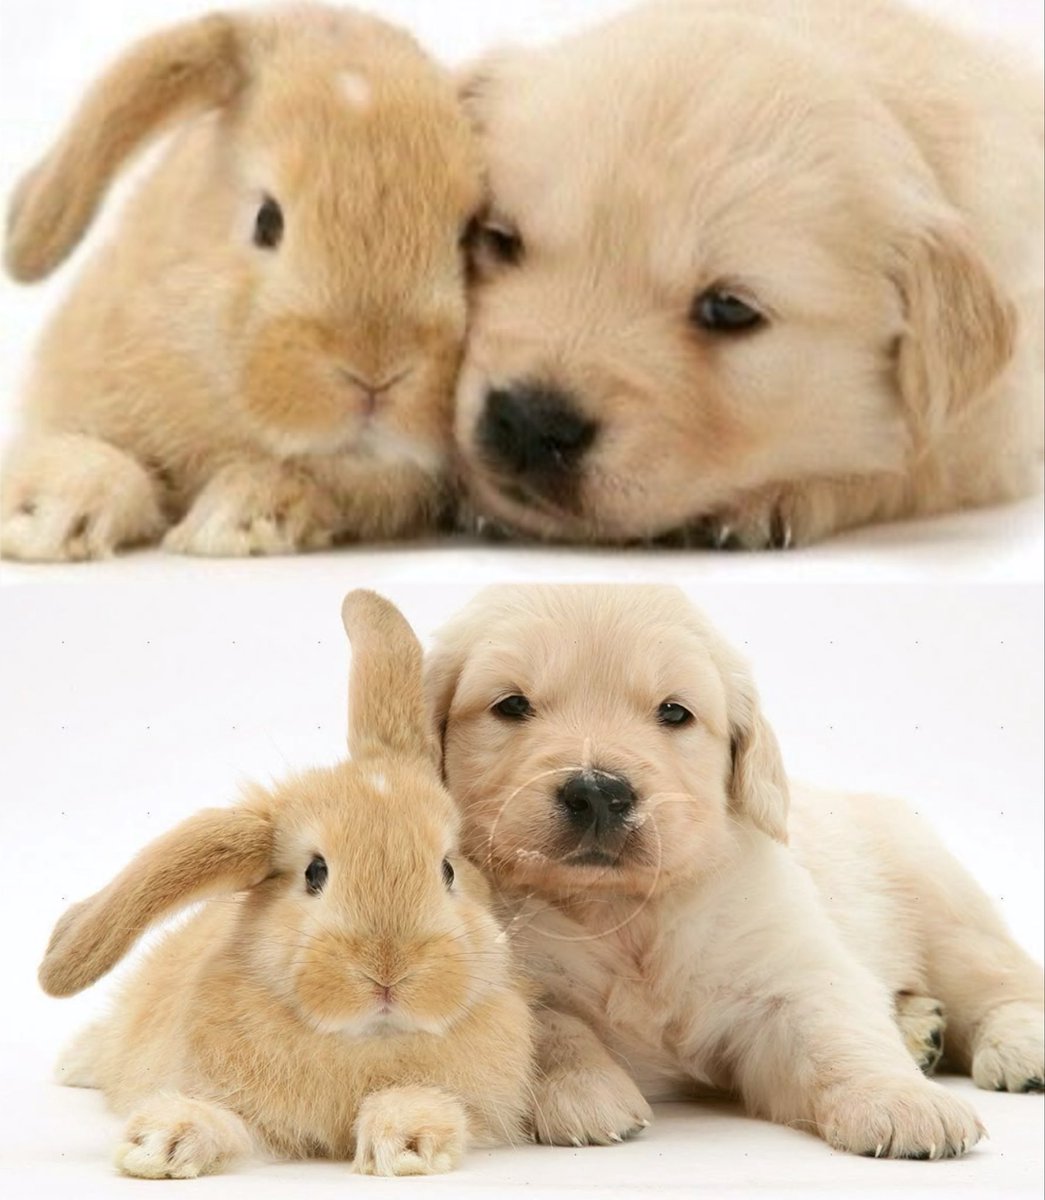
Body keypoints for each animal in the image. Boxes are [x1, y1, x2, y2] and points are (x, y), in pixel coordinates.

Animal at [1, 5, 483, 561]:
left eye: (467, 235)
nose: (377, 373)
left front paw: (236, 518)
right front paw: (41, 514)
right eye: (266, 220)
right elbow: (99, 456)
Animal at [37, 589, 535, 1178]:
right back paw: (73, 1064)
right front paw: (160, 1144)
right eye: (314, 872)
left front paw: (405, 1142)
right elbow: (228, 1124)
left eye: (448, 870)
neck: (365, 1041)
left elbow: (433, 1103)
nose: (388, 970)